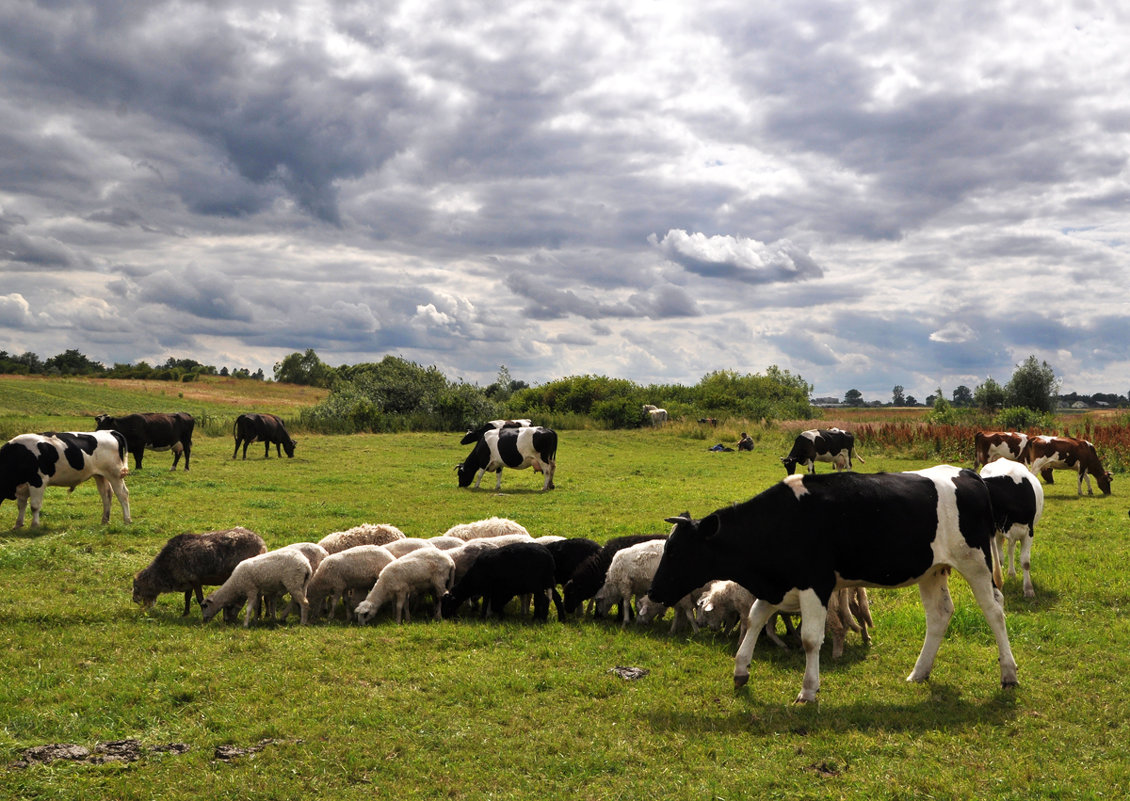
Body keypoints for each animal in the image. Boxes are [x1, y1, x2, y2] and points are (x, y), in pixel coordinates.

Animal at [0, 427, 131, 528]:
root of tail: (108, 431)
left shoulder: (38, 481)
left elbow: (34, 506)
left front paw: (35, 525)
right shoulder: (21, 486)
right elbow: (21, 505)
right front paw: (18, 524)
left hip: (115, 474)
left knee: (122, 494)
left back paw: (127, 520)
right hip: (100, 475)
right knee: (106, 494)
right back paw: (105, 520)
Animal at [132, 528, 266, 614]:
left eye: (137, 587)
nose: (134, 600)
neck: (165, 570)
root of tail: (262, 543)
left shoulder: (195, 579)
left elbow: (199, 599)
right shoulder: (188, 581)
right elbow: (187, 598)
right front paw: (185, 613)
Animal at [641, 465, 1021, 704]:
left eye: (676, 551)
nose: (654, 591)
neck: (781, 521)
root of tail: (969, 474)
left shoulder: (816, 584)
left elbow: (811, 638)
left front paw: (808, 691)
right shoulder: (778, 584)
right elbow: (754, 619)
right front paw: (740, 670)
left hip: (976, 563)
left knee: (994, 612)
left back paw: (1008, 674)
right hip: (932, 570)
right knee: (941, 615)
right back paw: (919, 672)